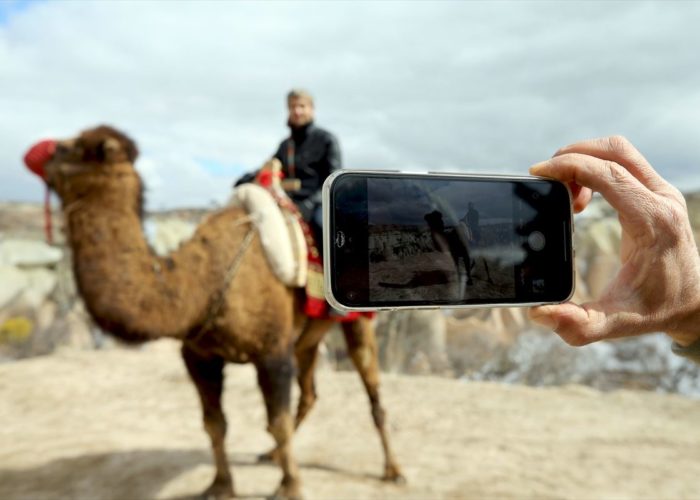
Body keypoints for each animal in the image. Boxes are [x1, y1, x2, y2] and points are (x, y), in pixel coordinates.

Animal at [26, 124, 404, 496]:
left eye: (69, 148)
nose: (34, 151)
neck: (209, 278)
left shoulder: (272, 352)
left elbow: (277, 422)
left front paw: (290, 486)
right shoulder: (198, 355)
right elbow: (214, 424)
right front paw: (220, 485)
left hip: (356, 323)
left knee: (372, 391)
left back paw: (393, 470)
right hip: (306, 337)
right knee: (309, 393)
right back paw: (271, 454)